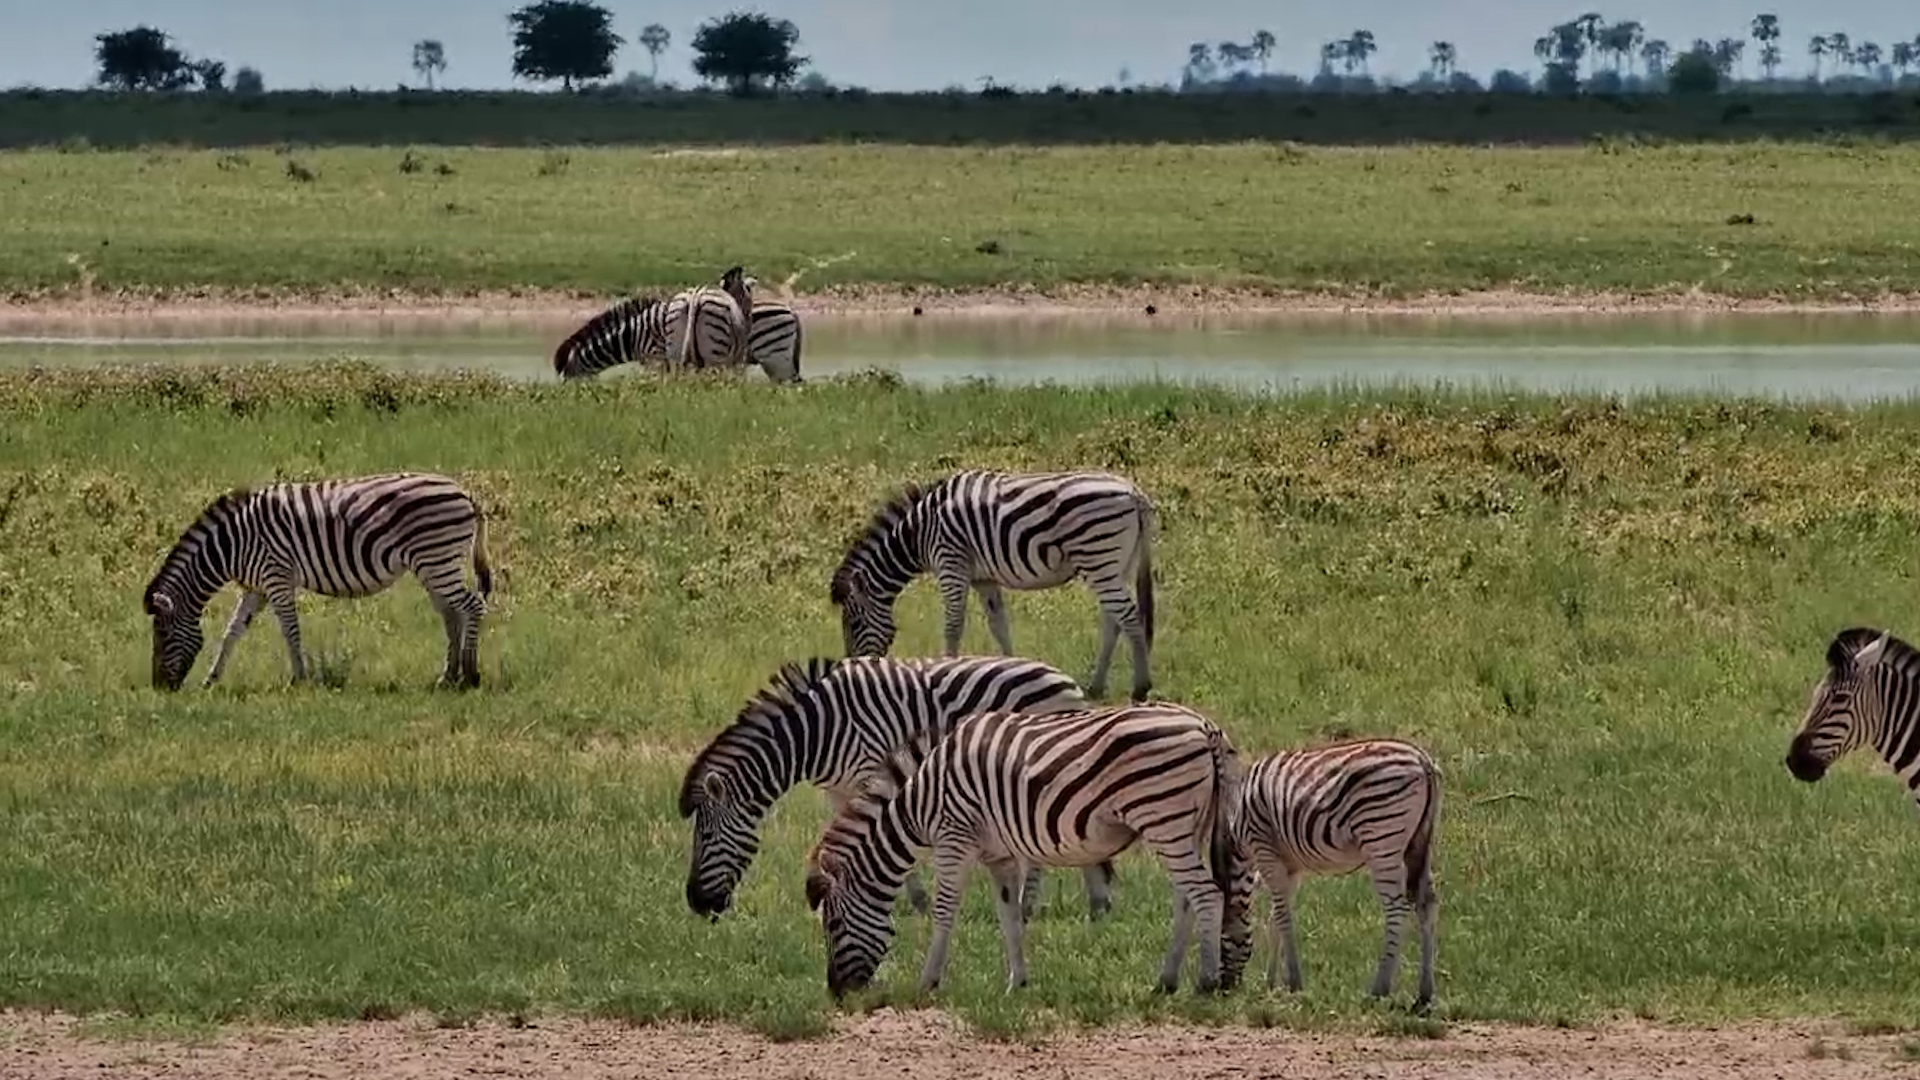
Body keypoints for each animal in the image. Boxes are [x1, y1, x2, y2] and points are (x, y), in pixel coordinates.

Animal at [142, 472, 495, 691]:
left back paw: (471, 675)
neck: (232, 544)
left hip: (436, 558)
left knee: (473, 606)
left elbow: (290, 630)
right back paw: (448, 677)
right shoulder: (256, 588)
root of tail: (466, 493)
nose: (160, 688)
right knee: (451, 614)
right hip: (432, 564)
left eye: (162, 634)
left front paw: (299, 679)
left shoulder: (276, 577)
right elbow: (232, 632)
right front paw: (211, 680)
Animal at [678, 654, 1117, 922]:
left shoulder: (870, 770)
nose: (697, 905)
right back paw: (1096, 907)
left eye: (706, 835)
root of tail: (1068, 683)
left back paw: (1033, 907)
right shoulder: (838, 789)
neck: (814, 733)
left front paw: (910, 901)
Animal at [802, 701, 1243, 998]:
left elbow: (945, 911)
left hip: (1164, 818)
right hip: (1187, 827)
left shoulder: (953, 839)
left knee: (1206, 894)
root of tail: (1205, 726)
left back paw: (1207, 982)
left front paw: (928, 981)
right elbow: (1009, 915)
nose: (837, 993)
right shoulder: (997, 855)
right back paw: (1166, 982)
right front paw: (1018, 982)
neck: (919, 799)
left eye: (833, 924)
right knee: (1187, 899)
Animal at [828, 469, 1158, 702]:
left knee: (1127, 616)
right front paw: (1014, 668)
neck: (918, 534)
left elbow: (953, 625)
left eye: (854, 624)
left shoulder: (951, 563)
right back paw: (1097, 686)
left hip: (1098, 556)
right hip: (1116, 565)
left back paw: (1141, 687)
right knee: (1113, 620)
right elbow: (999, 624)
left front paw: (944, 670)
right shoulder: (983, 578)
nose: (850, 671)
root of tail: (1134, 493)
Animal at [1228, 737, 1442, 1010]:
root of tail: (1421, 758)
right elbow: (1277, 914)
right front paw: (1271, 982)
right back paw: (1424, 993)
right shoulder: (1290, 865)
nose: (1224, 989)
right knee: (1427, 904)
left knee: (1396, 907)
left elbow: (1282, 916)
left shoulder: (1264, 849)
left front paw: (1293, 982)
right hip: (1419, 843)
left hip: (1382, 836)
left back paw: (1379, 988)